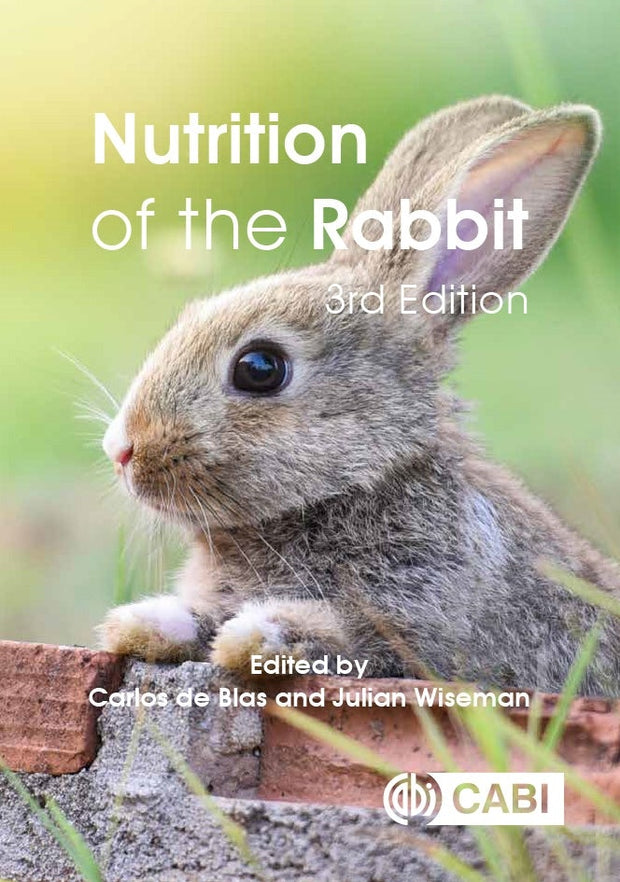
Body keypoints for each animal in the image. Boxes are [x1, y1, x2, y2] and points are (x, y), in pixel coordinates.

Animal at [99, 95, 620, 696]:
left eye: (259, 368)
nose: (121, 450)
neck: (360, 484)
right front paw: (141, 622)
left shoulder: (418, 622)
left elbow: (346, 634)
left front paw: (257, 635)